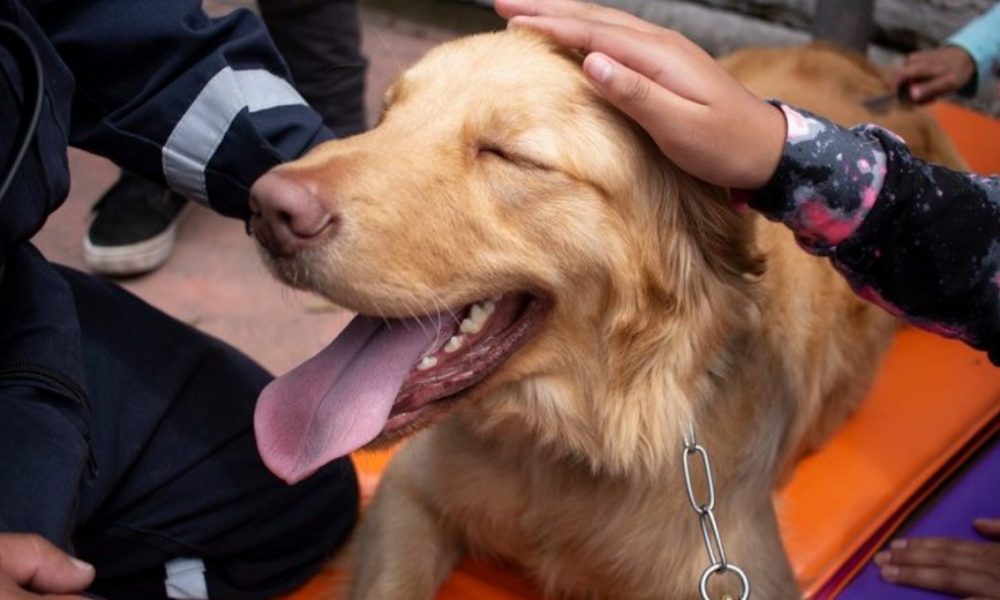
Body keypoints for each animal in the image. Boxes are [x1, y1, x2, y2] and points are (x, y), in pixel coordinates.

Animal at [250, 34, 960, 600]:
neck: (564, 445)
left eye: (509, 154)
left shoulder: (740, 573)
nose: (267, 208)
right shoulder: (407, 495)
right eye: (385, 116)